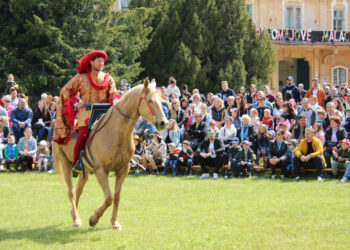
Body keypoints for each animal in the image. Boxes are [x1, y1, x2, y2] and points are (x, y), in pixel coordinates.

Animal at [53, 77, 168, 229]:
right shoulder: (101, 171)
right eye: (150, 100)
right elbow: (109, 198)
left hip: (85, 170)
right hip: (65, 163)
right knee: (71, 191)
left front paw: (114, 222)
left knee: (78, 190)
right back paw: (76, 219)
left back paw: (74, 215)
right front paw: (93, 219)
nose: (163, 122)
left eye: (161, 101)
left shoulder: (123, 169)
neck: (115, 132)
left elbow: (117, 197)